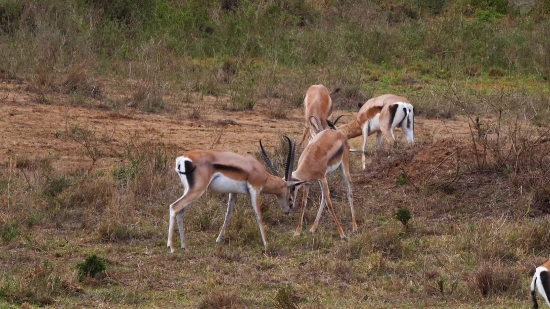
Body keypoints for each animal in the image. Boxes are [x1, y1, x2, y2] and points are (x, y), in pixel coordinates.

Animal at [168, 136, 306, 251]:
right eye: (291, 192)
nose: (288, 209)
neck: (258, 170)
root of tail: (183, 158)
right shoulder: (255, 190)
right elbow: (259, 216)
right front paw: (266, 244)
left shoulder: (233, 192)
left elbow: (228, 215)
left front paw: (218, 240)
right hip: (197, 190)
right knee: (174, 207)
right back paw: (172, 247)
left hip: (189, 190)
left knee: (181, 212)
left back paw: (184, 247)